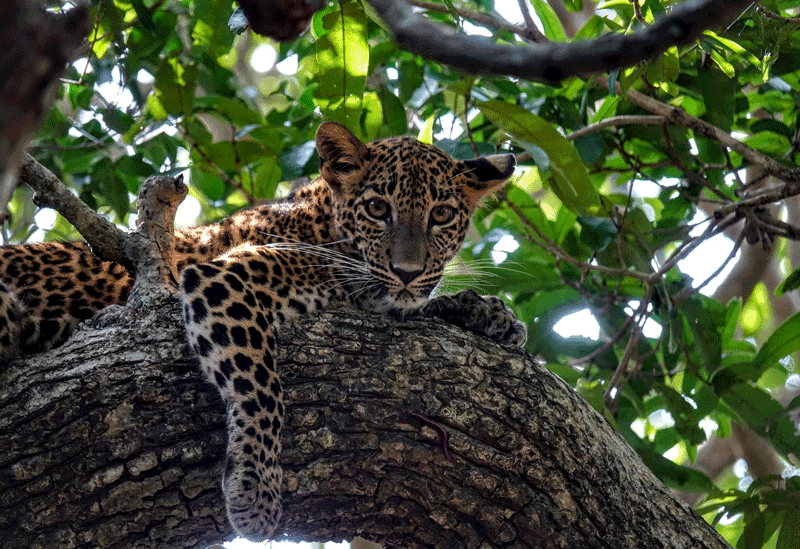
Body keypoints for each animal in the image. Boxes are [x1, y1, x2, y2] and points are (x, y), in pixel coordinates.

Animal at [0, 121, 528, 540]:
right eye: (378, 209)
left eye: (442, 215)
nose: (407, 271)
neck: (325, 227)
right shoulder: (224, 279)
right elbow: (261, 386)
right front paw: (255, 489)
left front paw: (489, 313)